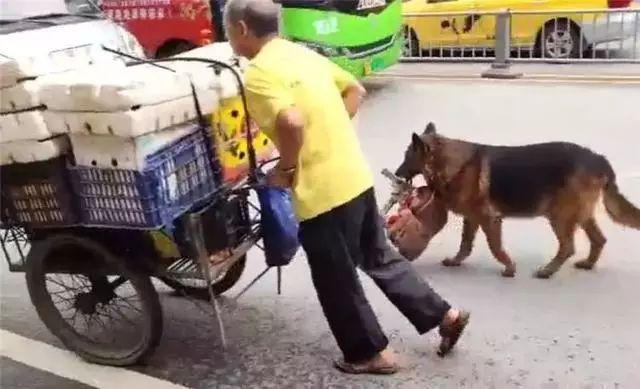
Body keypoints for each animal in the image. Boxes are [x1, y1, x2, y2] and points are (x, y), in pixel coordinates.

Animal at [396, 123, 640, 278]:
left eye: (407, 157)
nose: (397, 174)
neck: (450, 163)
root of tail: (599, 158)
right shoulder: (472, 219)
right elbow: (465, 245)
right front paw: (456, 261)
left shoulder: (489, 219)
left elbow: (495, 247)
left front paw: (509, 268)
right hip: (579, 214)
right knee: (599, 239)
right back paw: (588, 264)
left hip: (560, 215)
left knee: (568, 247)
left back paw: (548, 271)